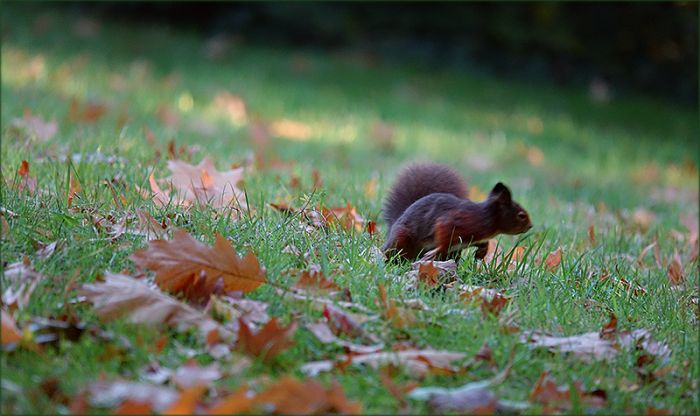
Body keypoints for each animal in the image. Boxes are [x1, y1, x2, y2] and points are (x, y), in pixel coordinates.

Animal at [381, 162, 532, 261]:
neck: (485, 216)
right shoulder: (458, 221)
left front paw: (481, 253)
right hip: (401, 240)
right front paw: (438, 250)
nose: (530, 226)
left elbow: (484, 243)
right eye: (521, 215)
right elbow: (443, 230)